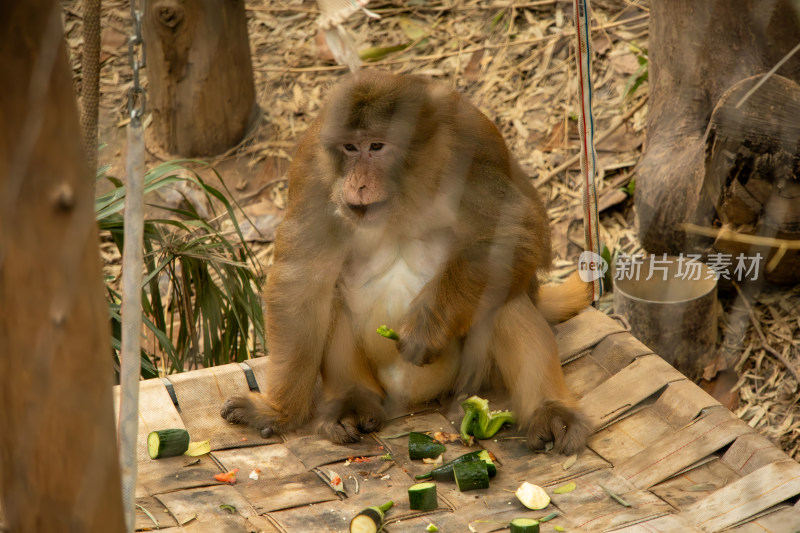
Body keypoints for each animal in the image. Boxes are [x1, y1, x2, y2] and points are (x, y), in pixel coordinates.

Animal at [222, 70, 592, 454]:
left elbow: (515, 233)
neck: (406, 190)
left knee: (504, 292)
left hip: (472, 375)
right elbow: (301, 281)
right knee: (330, 294)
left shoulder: (471, 143)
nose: (358, 184)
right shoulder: (313, 168)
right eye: (350, 148)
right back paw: (353, 398)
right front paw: (278, 411)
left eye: (376, 147)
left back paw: (549, 410)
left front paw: (427, 325)